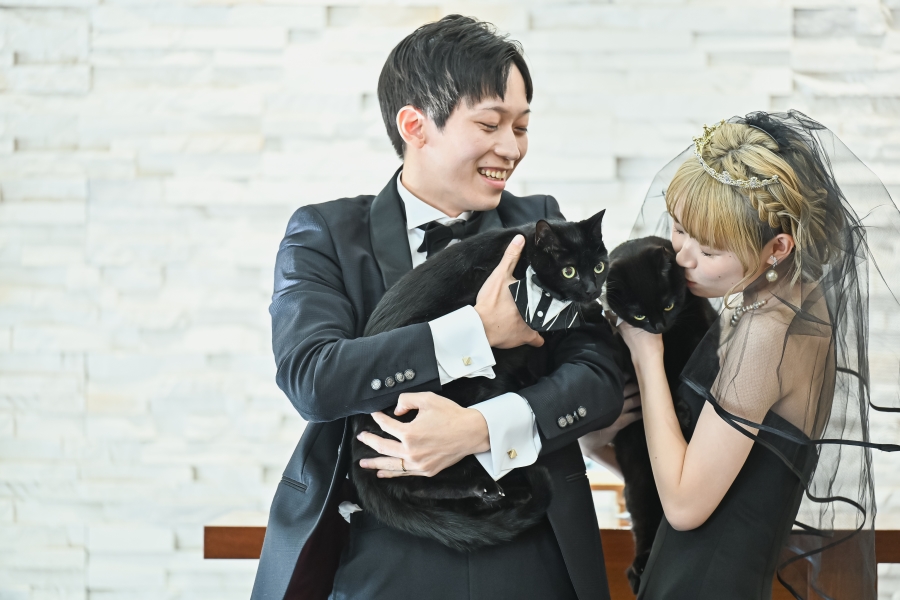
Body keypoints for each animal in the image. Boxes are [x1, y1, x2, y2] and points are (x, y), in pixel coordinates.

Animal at [350, 209, 609, 552]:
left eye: (599, 267)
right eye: (569, 271)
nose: (593, 289)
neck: (525, 254)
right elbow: (560, 316)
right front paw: (591, 312)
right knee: (419, 476)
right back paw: (490, 488)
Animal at [603, 235, 718, 594]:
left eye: (668, 306)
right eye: (638, 314)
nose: (658, 326)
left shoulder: (698, 335)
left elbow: (683, 373)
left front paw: (681, 411)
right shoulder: (627, 357)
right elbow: (660, 380)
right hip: (639, 484)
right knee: (644, 527)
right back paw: (638, 568)